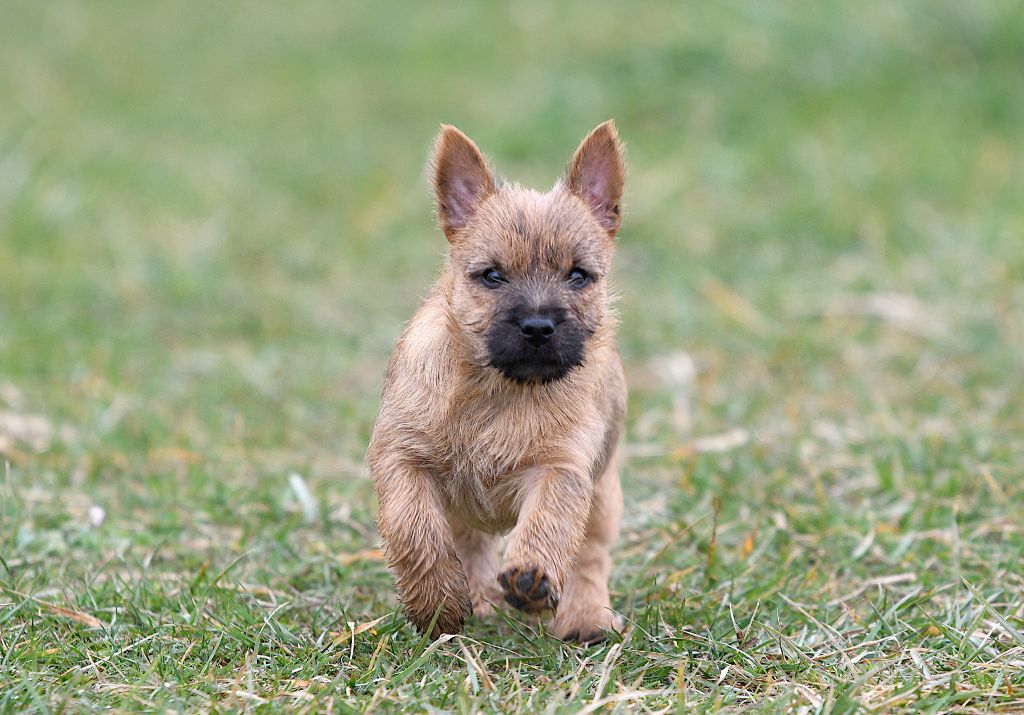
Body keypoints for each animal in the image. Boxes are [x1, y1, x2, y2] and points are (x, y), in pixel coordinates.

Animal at [368, 119, 622, 643]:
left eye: (578, 275)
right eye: (491, 275)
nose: (539, 327)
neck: (499, 392)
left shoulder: (562, 465)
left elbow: (551, 519)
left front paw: (532, 575)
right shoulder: (401, 457)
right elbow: (413, 529)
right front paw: (438, 604)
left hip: (605, 492)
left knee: (590, 554)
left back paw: (584, 616)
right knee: (470, 542)